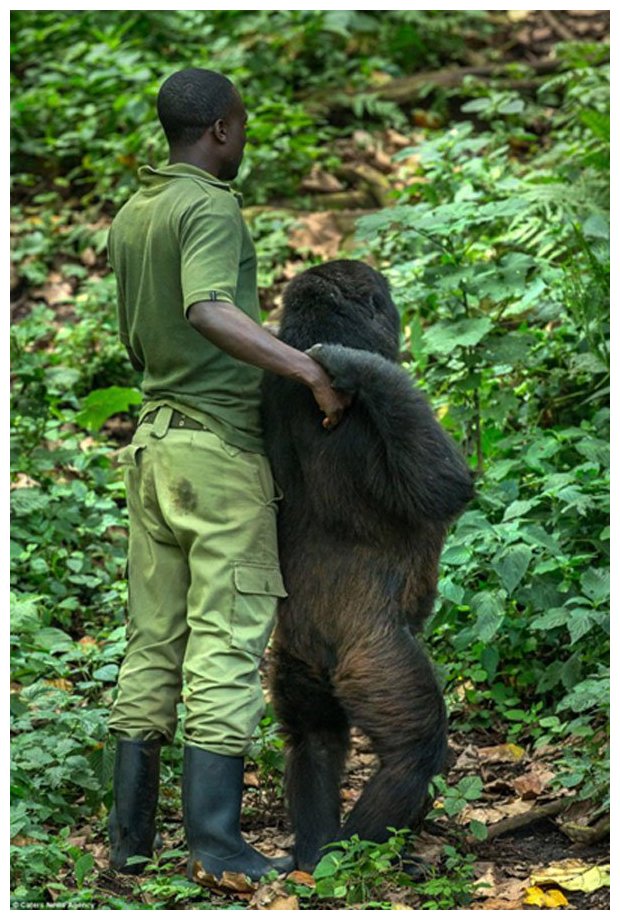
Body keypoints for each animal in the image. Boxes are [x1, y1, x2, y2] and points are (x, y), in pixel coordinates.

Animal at [260, 258, 472, 868]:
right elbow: (444, 485)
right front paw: (360, 367)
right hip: (377, 663)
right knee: (413, 751)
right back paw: (356, 854)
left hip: (296, 661)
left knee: (311, 738)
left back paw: (313, 852)